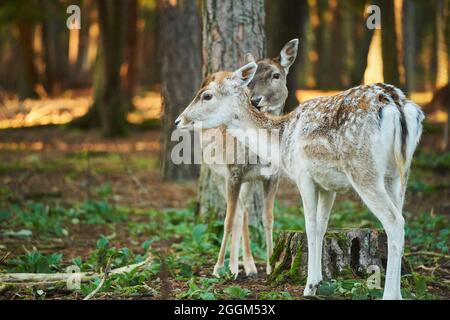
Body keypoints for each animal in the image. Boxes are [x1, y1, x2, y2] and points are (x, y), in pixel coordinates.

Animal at [176, 62, 426, 300]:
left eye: (207, 95)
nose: (179, 120)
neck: (281, 141)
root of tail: (398, 104)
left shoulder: (303, 175)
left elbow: (310, 225)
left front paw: (309, 286)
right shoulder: (328, 186)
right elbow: (322, 226)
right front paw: (318, 281)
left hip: (364, 169)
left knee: (395, 221)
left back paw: (390, 295)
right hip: (399, 172)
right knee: (400, 216)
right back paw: (400, 293)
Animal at [187, 38, 298, 278]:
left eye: (276, 75)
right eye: (250, 82)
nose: (255, 100)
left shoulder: (272, 176)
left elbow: (268, 219)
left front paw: (270, 265)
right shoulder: (233, 171)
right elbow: (229, 218)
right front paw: (220, 267)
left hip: (248, 181)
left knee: (244, 211)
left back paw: (246, 265)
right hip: (218, 173)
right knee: (238, 214)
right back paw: (235, 266)